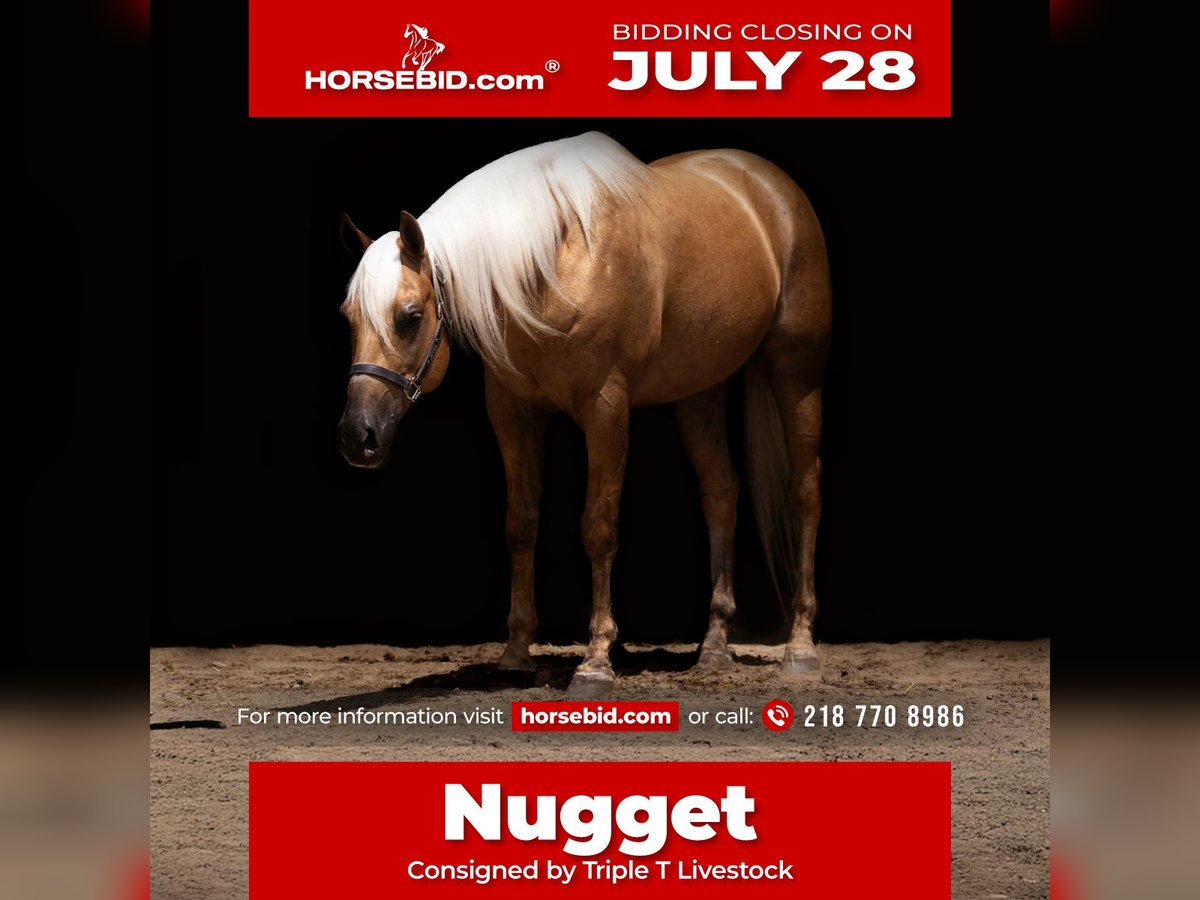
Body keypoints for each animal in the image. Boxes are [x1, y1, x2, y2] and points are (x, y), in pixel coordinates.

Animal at [337, 133, 831, 693]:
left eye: (410, 316)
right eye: (349, 318)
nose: (358, 438)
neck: (552, 262)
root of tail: (771, 187)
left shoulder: (605, 408)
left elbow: (598, 527)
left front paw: (595, 661)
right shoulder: (512, 412)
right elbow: (521, 523)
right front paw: (515, 653)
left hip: (797, 372)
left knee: (804, 491)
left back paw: (800, 648)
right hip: (702, 390)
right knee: (721, 492)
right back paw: (714, 646)